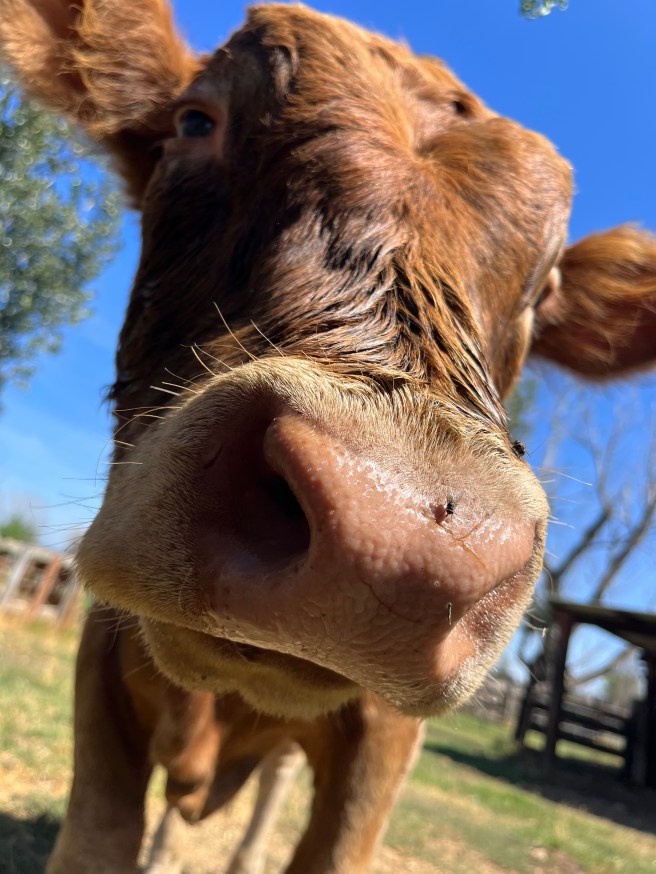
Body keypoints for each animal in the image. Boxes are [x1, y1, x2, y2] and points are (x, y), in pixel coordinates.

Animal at [2, 1, 655, 872]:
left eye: (544, 288)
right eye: (196, 120)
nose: (393, 540)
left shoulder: (383, 744)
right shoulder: (102, 664)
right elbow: (99, 837)